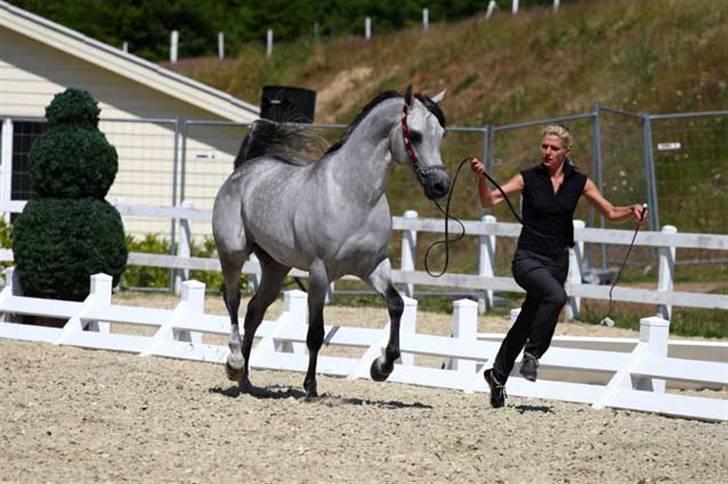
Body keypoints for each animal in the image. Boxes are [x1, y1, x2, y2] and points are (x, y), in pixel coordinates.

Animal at [212, 86, 450, 398]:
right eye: (415, 135)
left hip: (275, 267)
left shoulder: (374, 267)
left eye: (441, 134)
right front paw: (310, 387)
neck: (352, 196)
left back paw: (245, 380)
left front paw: (382, 368)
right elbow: (315, 333)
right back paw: (235, 363)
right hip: (232, 253)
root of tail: (244, 170)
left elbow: (396, 305)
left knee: (254, 311)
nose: (440, 186)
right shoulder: (319, 272)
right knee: (233, 300)